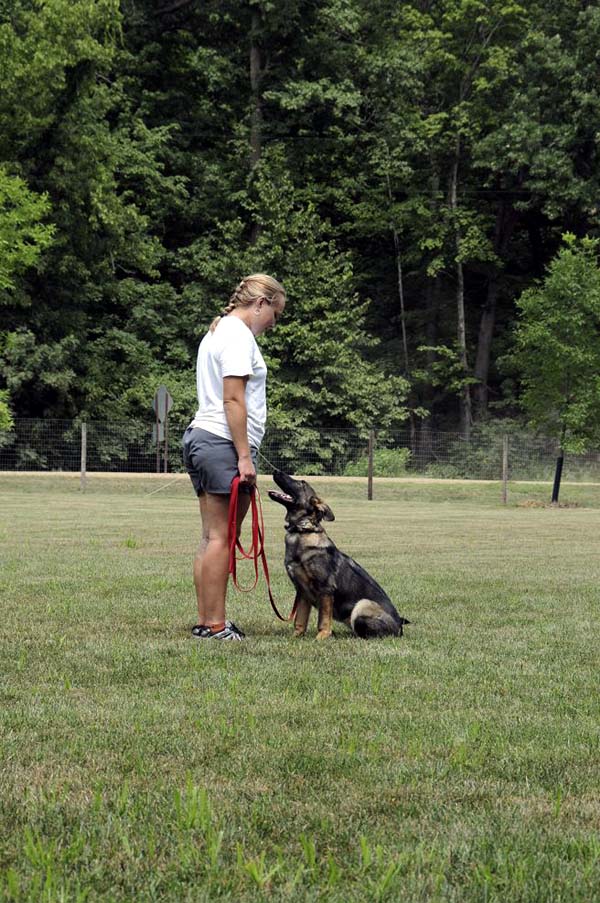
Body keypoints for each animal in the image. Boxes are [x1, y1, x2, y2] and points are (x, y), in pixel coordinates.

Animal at [270, 470, 410, 640]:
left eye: (301, 483)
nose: (275, 471)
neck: (302, 530)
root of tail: (399, 627)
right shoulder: (302, 592)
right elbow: (300, 620)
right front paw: (296, 637)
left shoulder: (325, 590)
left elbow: (323, 620)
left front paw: (322, 637)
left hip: (361, 605)